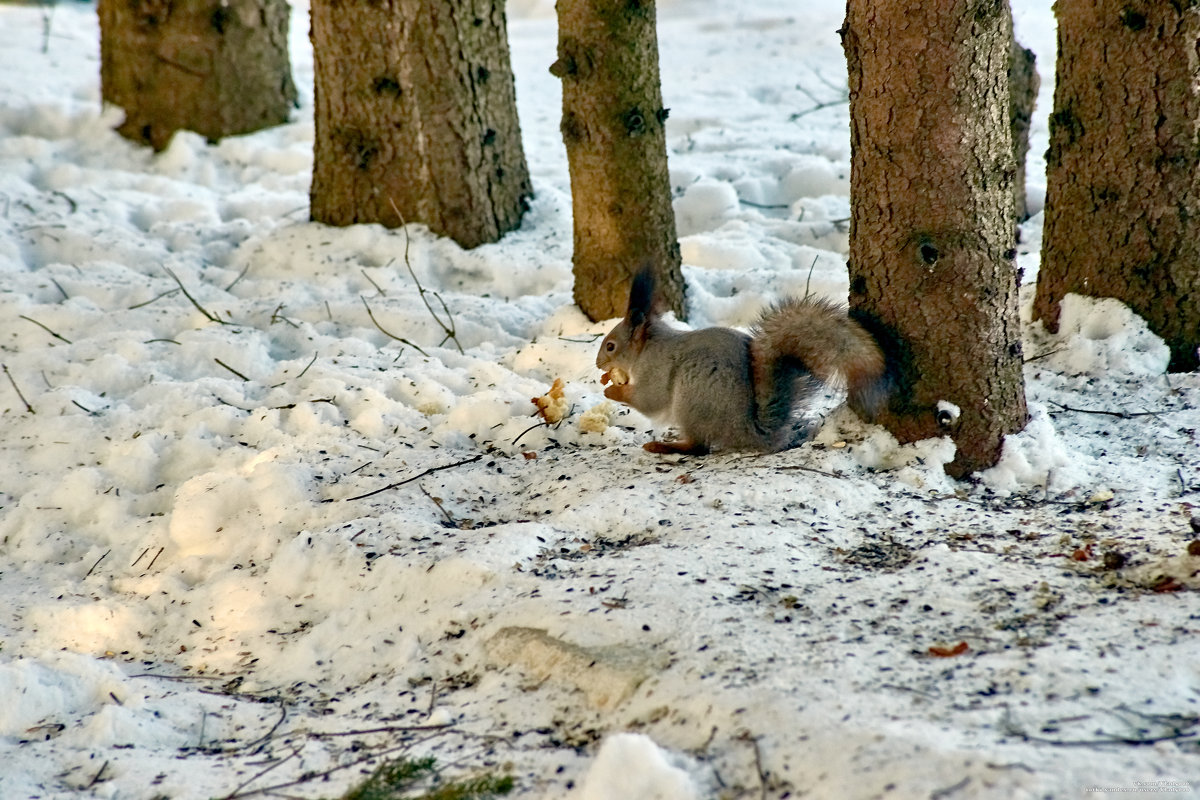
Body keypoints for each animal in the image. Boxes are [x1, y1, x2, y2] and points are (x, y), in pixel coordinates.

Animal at [597, 271, 892, 453]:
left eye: (611, 346)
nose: (599, 364)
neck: (647, 348)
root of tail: (746, 430)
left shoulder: (655, 368)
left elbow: (649, 399)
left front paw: (612, 390)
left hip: (693, 397)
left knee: (699, 447)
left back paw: (667, 446)